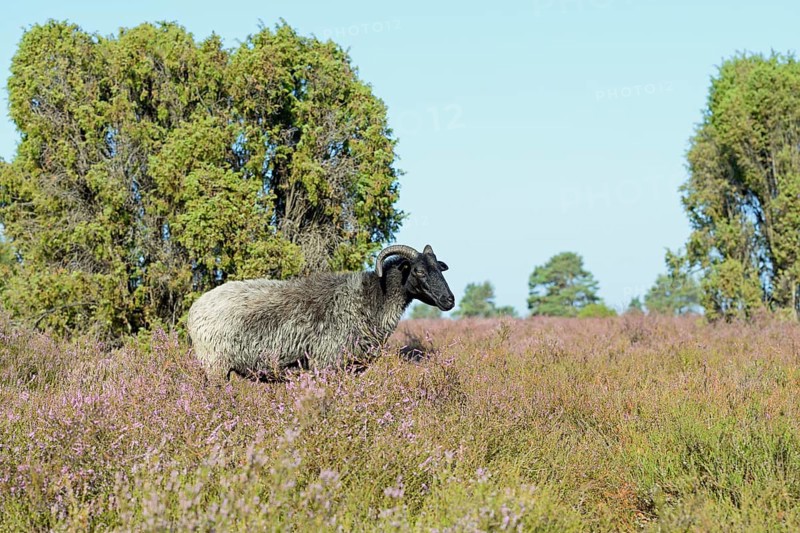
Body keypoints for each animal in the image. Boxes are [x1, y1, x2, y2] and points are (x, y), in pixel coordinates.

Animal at [187, 244, 454, 381]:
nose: (449, 300)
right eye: (418, 271)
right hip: (215, 365)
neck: (373, 297)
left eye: (439, 269)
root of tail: (195, 308)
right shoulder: (327, 363)